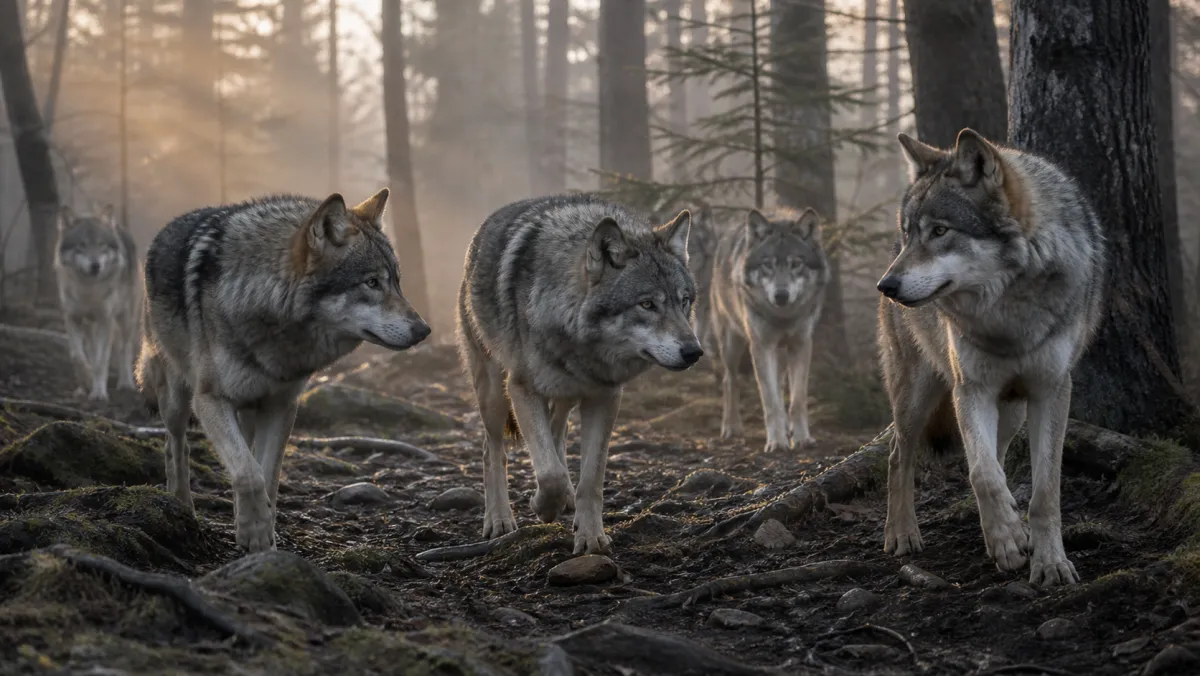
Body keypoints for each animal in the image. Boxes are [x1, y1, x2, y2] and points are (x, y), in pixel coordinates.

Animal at [54, 204, 141, 401]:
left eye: (101, 245)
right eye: (81, 245)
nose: (95, 266)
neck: (88, 290)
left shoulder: (105, 320)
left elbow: (102, 362)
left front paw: (99, 394)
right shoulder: (73, 318)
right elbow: (77, 357)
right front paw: (86, 382)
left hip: (125, 319)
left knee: (125, 350)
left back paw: (126, 384)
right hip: (90, 326)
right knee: (91, 352)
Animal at [136, 189, 430, 553]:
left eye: (397, 283)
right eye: (372, 282)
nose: (424, 331)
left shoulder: (281, 405)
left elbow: (267, 475)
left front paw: (261, 534)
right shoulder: (210, 400)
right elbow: (248, 473)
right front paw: (255, 533)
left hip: (247, 409)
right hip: (177, 399)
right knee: (176, 443)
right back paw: (181, 503)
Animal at [457, 195, 702, 555]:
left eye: (684, 301)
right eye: (646, 304)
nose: (694, 351)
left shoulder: (605, 397)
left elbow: (591, 479)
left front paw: (590, 537)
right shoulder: (522, 390)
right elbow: (549, 474)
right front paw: (542, 506)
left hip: (564, 397)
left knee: (557, 433)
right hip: (494, 393)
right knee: (493, 450)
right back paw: (499, 519)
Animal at [708, 207, 830, 452]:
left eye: (796, 264)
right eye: (768, 264)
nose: (781, 295)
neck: (783, 317)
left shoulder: (801, 344)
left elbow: (797, 400)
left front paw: (802, 438)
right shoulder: (761, 347)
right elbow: (770, 402)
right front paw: (776, 442)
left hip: (779, 352)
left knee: (780, 385)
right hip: (732, 345)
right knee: (729, 381)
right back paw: (731, 428)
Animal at [876, 128, 1106, 587]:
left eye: (940, 231)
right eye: (910, 233)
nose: (886, 285)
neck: (1006, 314)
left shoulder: (1050, 392)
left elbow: (1044, 491)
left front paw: (1049, 562)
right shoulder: (971, 389)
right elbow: (980, 473)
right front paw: (1007, 540)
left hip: (1011, 408)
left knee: (994, 456)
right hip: (917, 394)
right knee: (898, 455)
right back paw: (902, 533)